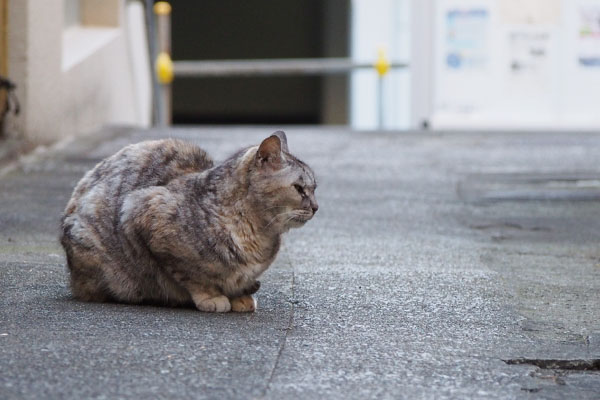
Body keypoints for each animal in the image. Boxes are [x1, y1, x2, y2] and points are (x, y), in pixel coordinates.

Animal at [58, 131, 316, 312]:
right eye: (299, 188)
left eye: (314, 188)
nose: (315, 207)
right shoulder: (143, 213)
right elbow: (192, 276)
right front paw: (212, 297)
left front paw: (240, 296)